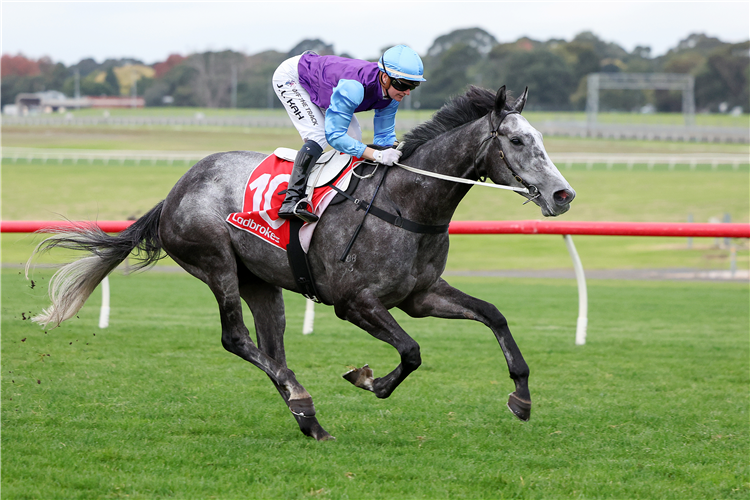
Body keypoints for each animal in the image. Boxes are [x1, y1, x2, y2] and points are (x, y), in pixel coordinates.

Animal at [27, 87, 576, 442]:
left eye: (540, 138)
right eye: (518, 141)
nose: (562, 195)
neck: (406, 203)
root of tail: (175, 192)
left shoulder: (420, 296)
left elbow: (494, 316)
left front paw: (522, 398)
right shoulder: (354, 302)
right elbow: (412, 351)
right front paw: (368, 380)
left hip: (262, 283)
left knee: (272, 348)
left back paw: (306, 417)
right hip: (217, 264)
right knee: (236, 339)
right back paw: (303, 400)